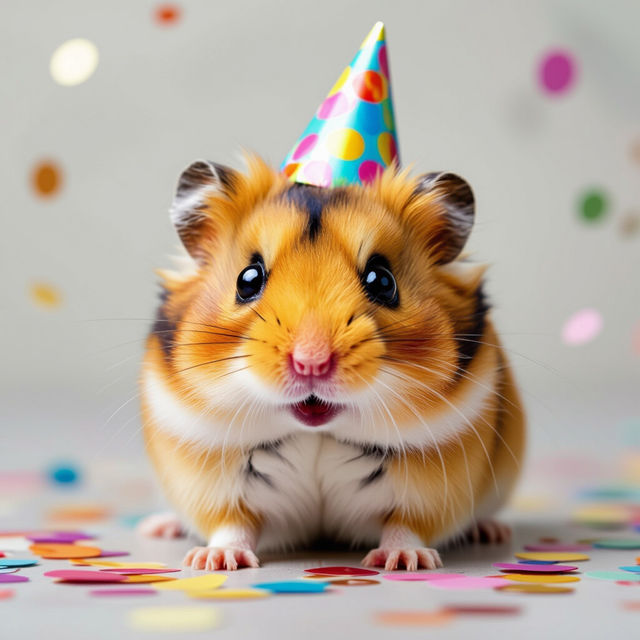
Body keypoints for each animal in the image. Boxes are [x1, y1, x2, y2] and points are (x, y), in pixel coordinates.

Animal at [138, 155, 525, 571]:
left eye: (382, 281)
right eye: (248, 279)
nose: (311, 363)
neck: (317, 431)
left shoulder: (431, 491)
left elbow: (404, 527)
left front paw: (405, 561)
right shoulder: (215, 487)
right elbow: (233, 525)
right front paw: (214, 561)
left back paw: (490, 531)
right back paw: (159, 527)